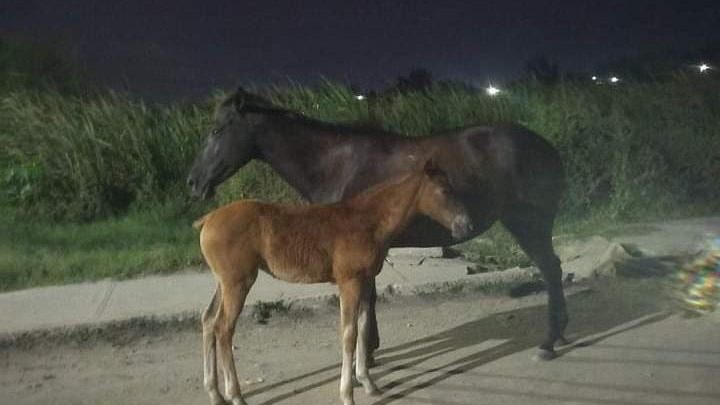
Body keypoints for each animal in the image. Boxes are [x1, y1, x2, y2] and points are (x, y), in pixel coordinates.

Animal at [188, 87, 572, 360]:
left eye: (217, 129)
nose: (194, 182)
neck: (335, 163)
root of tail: (547, 148)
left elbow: (366, 299)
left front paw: (367, 355)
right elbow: (368, 298)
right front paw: (370, 349)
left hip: (529, 223)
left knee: (550, 269)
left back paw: (549, 342)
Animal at [194, 161, 472, 404]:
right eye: (445, 190)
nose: (466, 226)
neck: (369, 221)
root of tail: (207, 219)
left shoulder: (366, 281)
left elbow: (363, 327)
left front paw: (368, 383)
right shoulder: (349, 283)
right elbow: (349, 334)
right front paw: (347, 394)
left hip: (225, 283)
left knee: (208, 320)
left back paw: (215, 394)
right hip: (239, 283)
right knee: (223, 328)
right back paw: (235, 395)